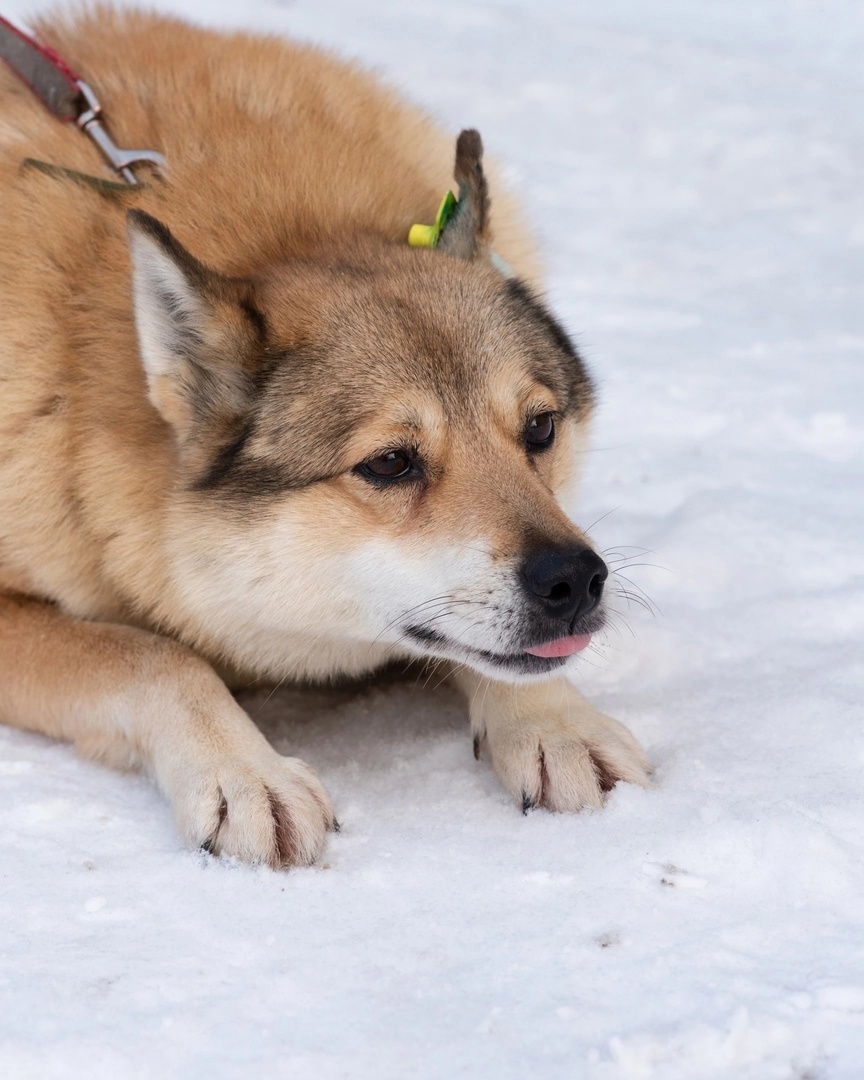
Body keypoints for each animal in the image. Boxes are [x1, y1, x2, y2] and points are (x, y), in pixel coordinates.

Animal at [0, 6, 648, 868]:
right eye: (391, 463)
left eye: (539, 427)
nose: (574, 580)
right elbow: (156, 656)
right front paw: (246, 775)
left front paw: (555, 724)